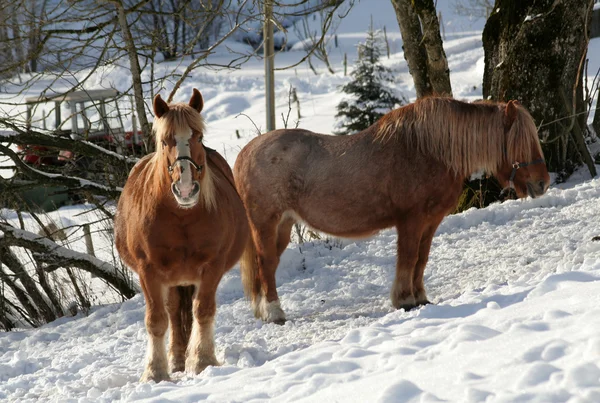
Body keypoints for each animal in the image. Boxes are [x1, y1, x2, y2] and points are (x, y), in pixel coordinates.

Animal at [115, 88, 251, 382]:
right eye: (165, 141)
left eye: (198, 136)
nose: (186, 189)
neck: (181, 218)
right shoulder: (149, 272)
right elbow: (156, 320)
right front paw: (155, 372)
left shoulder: (212, 266)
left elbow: (203, 310)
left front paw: (202, 361)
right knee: (174, 313)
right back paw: (176, 360)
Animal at [234, 97, 548, 326]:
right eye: (521, 142)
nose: (543, 182)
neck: (428, 151)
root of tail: (244, 154)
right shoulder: (411, 220)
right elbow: (408, 258)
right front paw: (405, 300)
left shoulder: (430, 221)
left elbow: (421, 258)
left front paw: (420, 297)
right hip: (265, 222)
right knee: (266, 264)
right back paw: (274, 313)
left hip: (283, 225)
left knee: (267, 265)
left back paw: (263, 311)